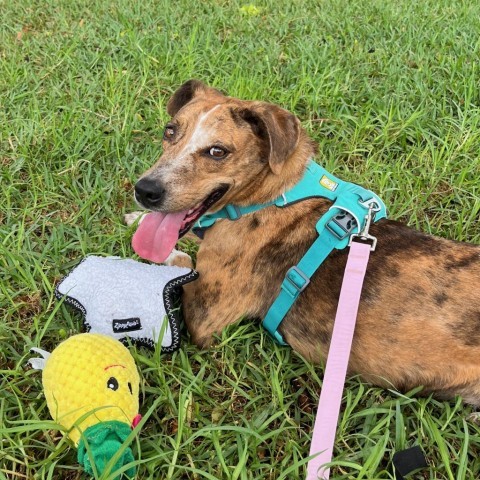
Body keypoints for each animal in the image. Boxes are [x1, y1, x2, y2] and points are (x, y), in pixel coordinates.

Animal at [132, 80, 480, 404]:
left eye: (217, 152)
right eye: (170, 131)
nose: (145, 191)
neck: (271, 196)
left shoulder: (205, 314)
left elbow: (183, 263)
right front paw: (136, 218)